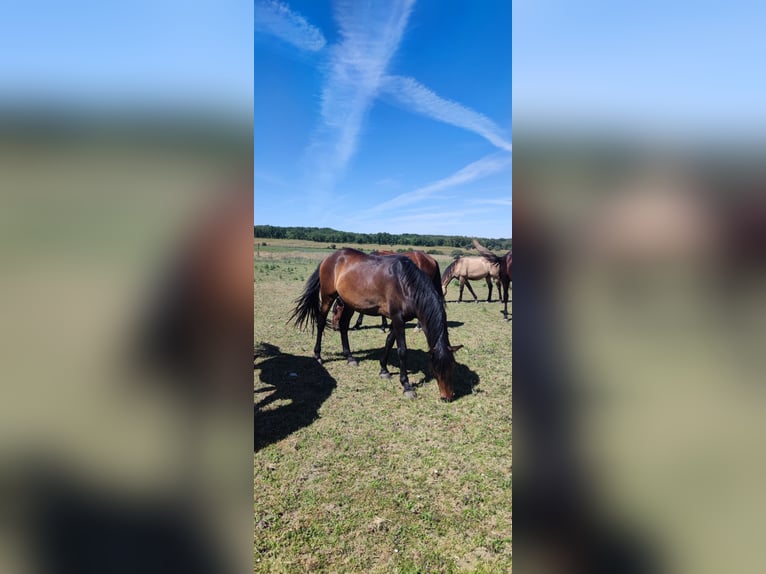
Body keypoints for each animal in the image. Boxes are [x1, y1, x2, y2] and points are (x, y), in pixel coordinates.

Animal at [292, 250, 462, 402]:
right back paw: (318, 355)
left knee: (344, 325)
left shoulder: (399, 320)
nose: (447, 397)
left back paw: (349, 357)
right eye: (435, 368)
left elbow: (389, 341)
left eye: (453, 367)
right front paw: (406, 386)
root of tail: (329, 258)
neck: (405, 283)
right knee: (321, 322)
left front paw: (384, 370)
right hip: (328, 296)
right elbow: (402, 350)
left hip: (349, 303)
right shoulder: (397, 318)